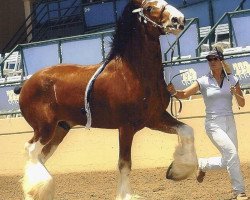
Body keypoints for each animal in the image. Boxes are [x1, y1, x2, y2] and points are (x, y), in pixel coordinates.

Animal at [17, 0, 197, 198]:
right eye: (149, 7)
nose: (178, 19)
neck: (134, 74)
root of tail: (26, 84)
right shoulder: (126, 127)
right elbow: (124, 165)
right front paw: (126, 195)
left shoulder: (155, 118)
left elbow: (187, 131)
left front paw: (177, 171)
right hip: (44, 128)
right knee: (30, 150)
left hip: (60, 129)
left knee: (40, 157)